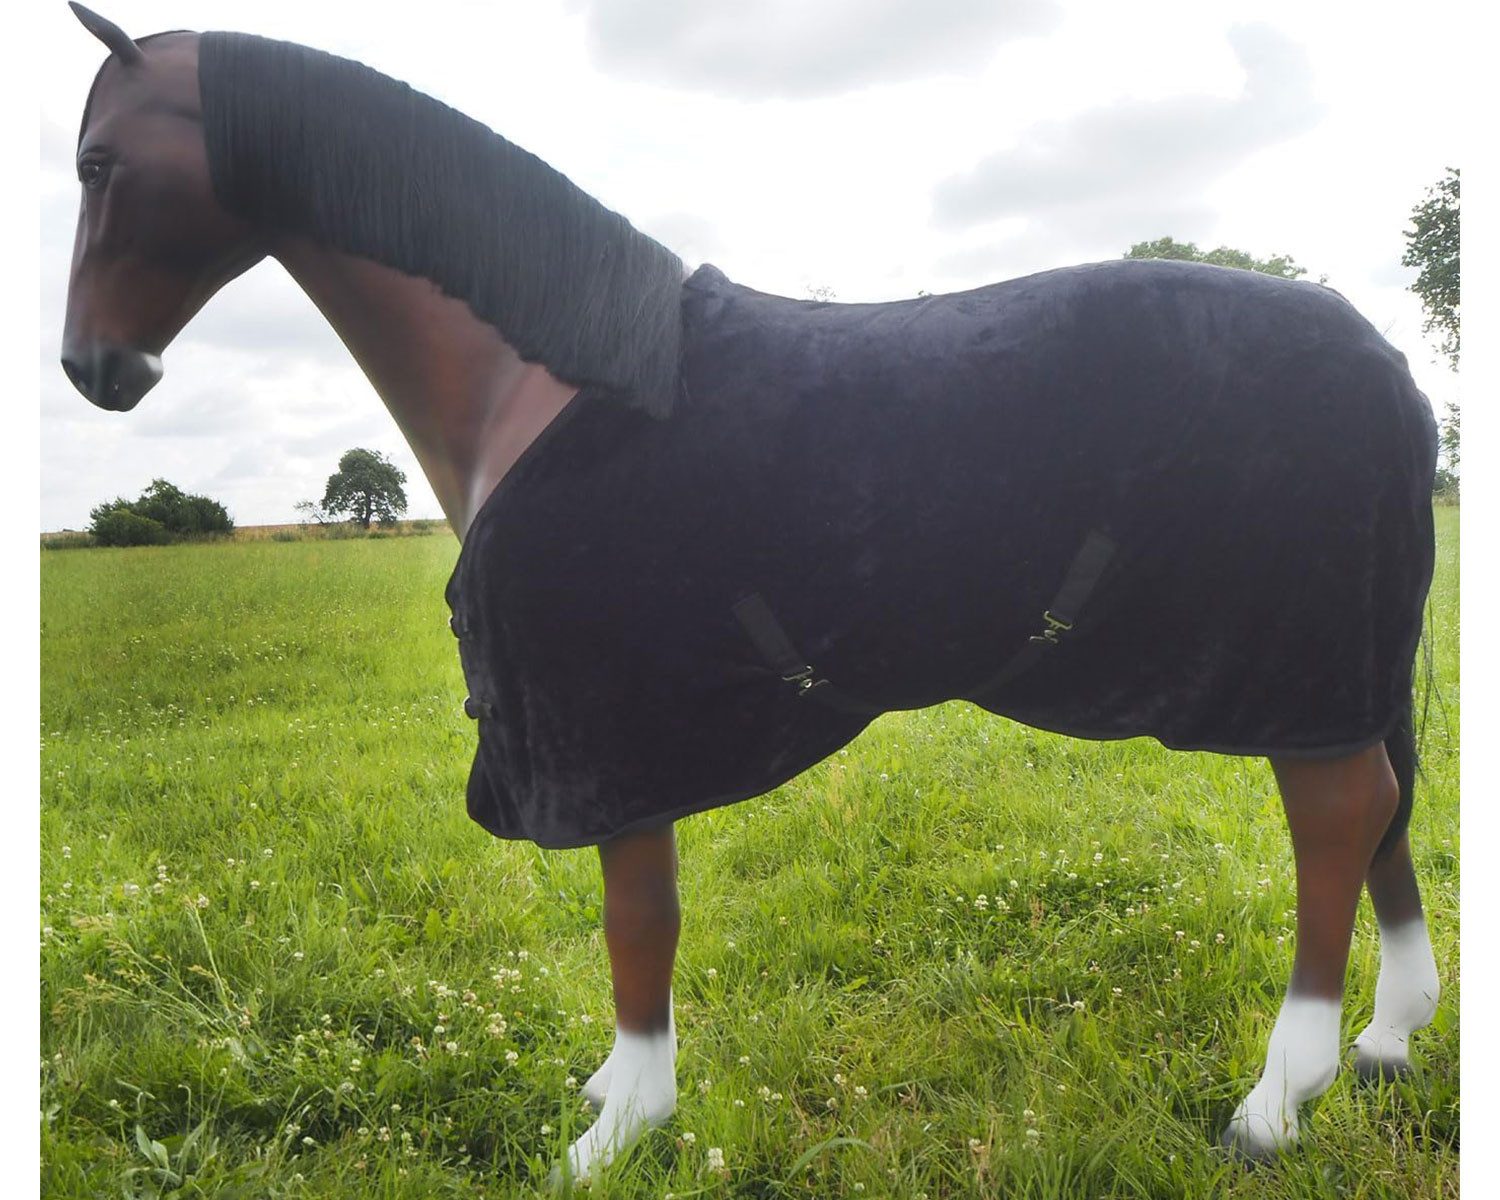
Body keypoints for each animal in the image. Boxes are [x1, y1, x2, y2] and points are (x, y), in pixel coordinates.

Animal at [60, 3, 1443, 1184]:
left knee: (1338, 823)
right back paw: (1386, 1042)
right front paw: (617, 1103)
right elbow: (645, 918)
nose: (94, 370)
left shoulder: (608, 736)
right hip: (1342, 677)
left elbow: (638, 922)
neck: (550, 377)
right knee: (1380, 811)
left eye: (95, 163)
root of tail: (1384, 358)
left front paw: (621, 1127)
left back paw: (1278, 1101)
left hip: (1295, 671)